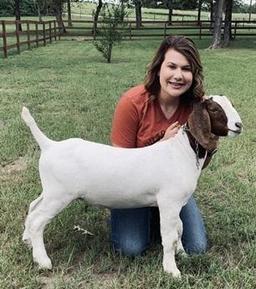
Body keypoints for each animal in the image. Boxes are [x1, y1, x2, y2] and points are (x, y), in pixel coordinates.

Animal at [21, 94, 241, 276]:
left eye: (231, 104)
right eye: (214, 109)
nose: (238, 124)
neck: (181, 151)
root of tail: (50, 145)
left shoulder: (177, 204)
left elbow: (179, 228)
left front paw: (183, 254)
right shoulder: (169, 202)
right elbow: (169, 236)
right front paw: (172, 270)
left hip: (50, 191)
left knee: (32, 207)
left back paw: (27, 241)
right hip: (59, 195)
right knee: (38, 221)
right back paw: (43, 261)